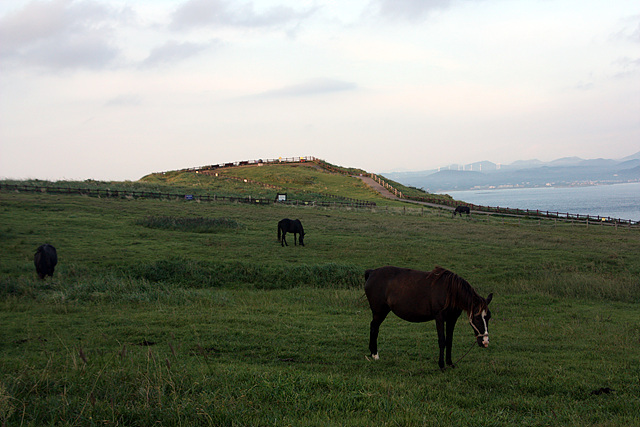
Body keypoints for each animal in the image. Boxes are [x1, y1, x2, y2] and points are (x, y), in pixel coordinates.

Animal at [362, 268, 492, 372]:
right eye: (477, 317)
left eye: (489, 317)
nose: (485, 342)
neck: (450, 292)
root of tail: (372, 272)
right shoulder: (439, 318)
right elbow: (442, 341)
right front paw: (441, 365)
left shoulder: (452, 319)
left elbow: (449, 341)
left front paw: (450, 363)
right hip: (379, 312)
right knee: (374, 328)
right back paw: (375, 355)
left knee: (373, 328)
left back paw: (372, 353)